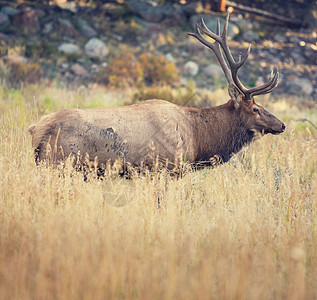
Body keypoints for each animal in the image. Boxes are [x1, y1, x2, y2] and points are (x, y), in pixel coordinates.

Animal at [27, 13, 284, 173]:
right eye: (256, 109)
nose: (282, 125)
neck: (198, 138)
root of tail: (37, 129)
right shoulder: (165, 168)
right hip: (58, 164)